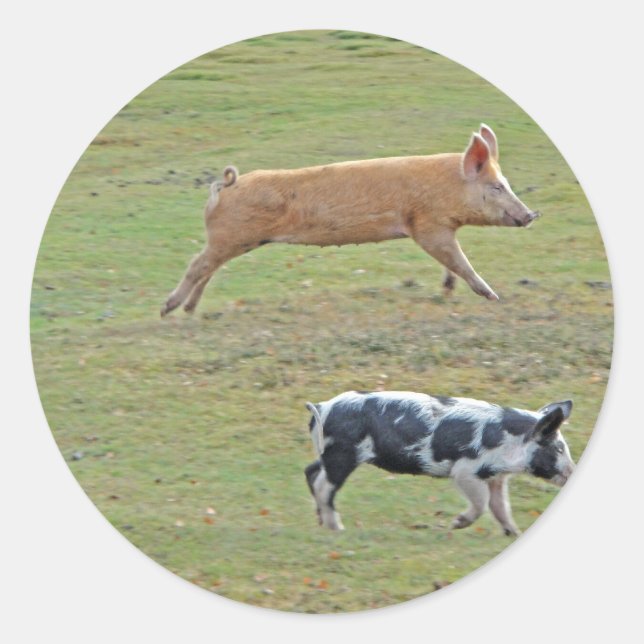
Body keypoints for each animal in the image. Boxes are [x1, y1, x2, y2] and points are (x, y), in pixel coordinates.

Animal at [161, 124, 539, 316]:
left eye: (506, 183)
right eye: (496, 186)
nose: (532, 214)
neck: (449, 190)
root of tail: (225, 186)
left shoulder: (439, 229)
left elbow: (451, 264)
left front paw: (448, 292)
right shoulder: (427, 226)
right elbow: (461, 262)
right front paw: (494, 298)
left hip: (233, 240)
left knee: (209, 269)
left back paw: (190, 310)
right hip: (228, 237)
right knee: (197, 265)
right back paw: (168, 309)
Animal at [304, 391, 574, 535]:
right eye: (558, 448)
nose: (571, 472)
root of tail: (322, 406)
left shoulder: (496, 477)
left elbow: (500, 506)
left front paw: (514, 534)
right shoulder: (465, 471)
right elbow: (482, 503)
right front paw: (456, 524)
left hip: (329, 453)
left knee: (311, 471)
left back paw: (321, 522)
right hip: (342, 453)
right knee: (323, 485)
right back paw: (338, 528)